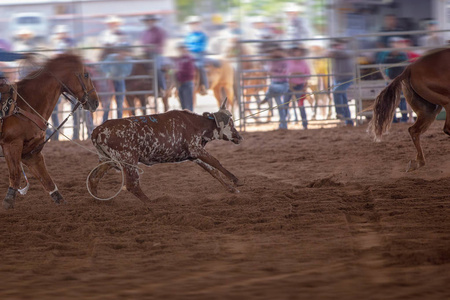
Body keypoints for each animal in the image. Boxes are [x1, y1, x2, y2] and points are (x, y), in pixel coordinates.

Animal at [0, 53, 99, 209]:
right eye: (86, 74)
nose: (96, 102)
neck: (23, 105)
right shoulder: (11, 144)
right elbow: (15, 174)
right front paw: (8, 203)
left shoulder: (31, 152)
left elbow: (46, 179)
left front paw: (62, 202)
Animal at [88, 99, 243, 202]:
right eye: (231, 124)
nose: (240, 137)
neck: (196, 124)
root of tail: (98, 130)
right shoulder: (196, 149)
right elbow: (216, 162)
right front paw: (236, 181)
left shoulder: (194, 155)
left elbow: (213, 171)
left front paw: (231, 188)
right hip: (128, 160)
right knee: (132, 185)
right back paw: (151, 204)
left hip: (107, 160)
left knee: (94, 178)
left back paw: (98, 200)